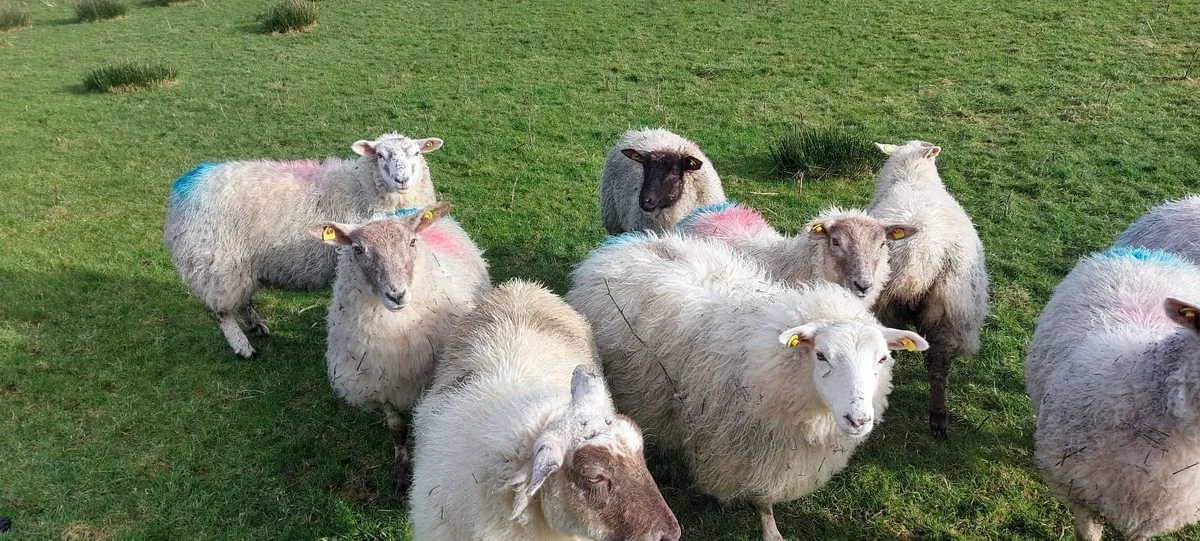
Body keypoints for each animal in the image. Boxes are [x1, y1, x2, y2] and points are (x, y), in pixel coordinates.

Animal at [163, 133, 444, 358]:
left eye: (417, 153)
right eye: (380, 155)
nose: (402, 179)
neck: (359, 186)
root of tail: (185, 186)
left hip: (237, 267)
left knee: (242, 301)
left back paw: (256, 326)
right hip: (215, 263)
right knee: (222, 312)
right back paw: (242, 346)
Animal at [310, 201, 489, 494]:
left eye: (412, 242)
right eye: (358, 250)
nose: (396, 295)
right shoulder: (381, 385)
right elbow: (397, 429)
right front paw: (402, 470)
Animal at [565, 232, 928, 541]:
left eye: (882, 358)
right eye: (822, 355)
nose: (859, 419)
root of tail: (622, 243)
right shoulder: (745, 447)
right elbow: (762, 496)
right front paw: (766, 526)